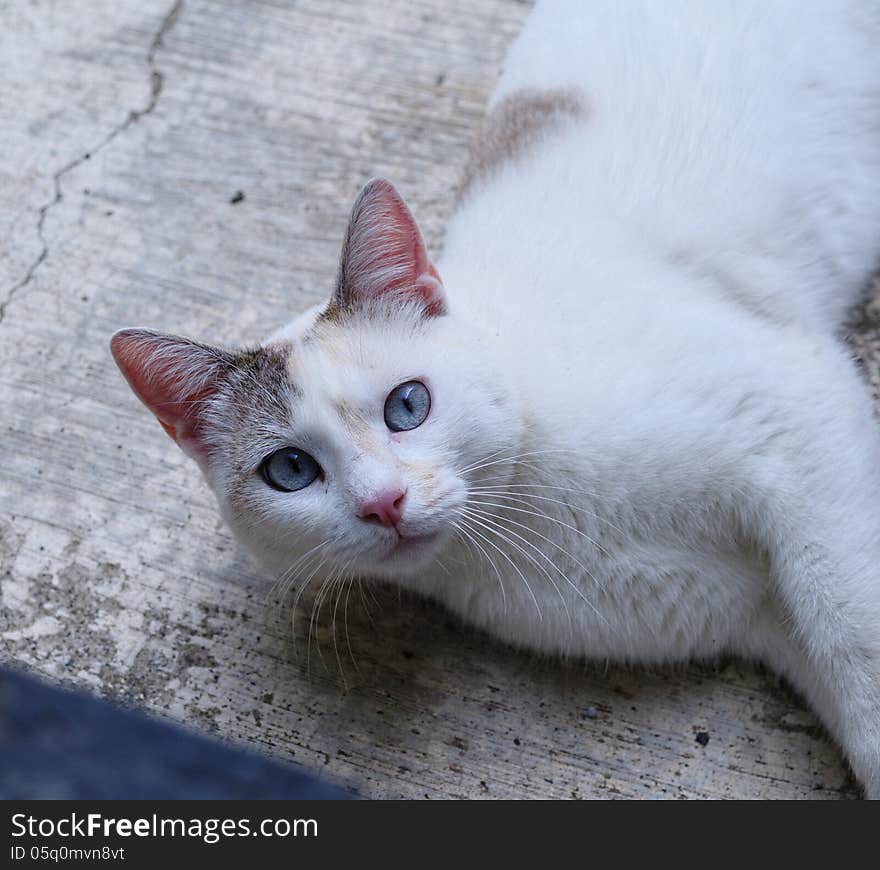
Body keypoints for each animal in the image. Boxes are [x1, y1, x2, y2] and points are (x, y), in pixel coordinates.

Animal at [110, 0, 880, 800]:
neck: (528, 520)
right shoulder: (748, 608)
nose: (383, 503)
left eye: (407, 406)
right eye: (290, 470)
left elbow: (851, 631)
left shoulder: (797, 411)